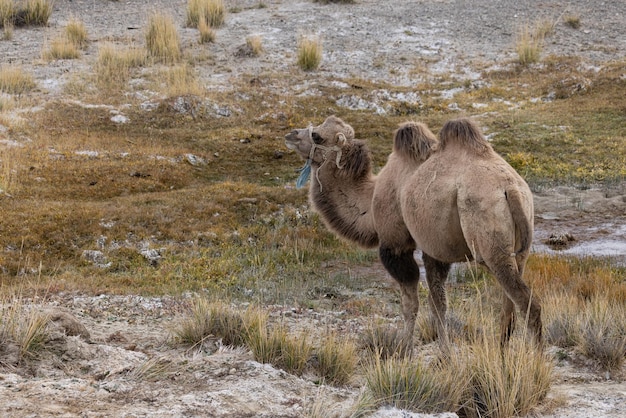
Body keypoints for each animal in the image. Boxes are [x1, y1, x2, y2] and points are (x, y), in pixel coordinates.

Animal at [286, 116, 540, 348]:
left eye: (317, 136)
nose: (291, 134)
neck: (370, 202)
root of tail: (510, 189)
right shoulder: (433, 249)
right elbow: (439, 304)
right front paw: (445, 355)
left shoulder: (395, 244)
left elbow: (410, 304)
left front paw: (404, 349)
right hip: (521, 246)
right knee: (509, 307)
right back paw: (502, 353)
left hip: (490, 242)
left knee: (528, 302)